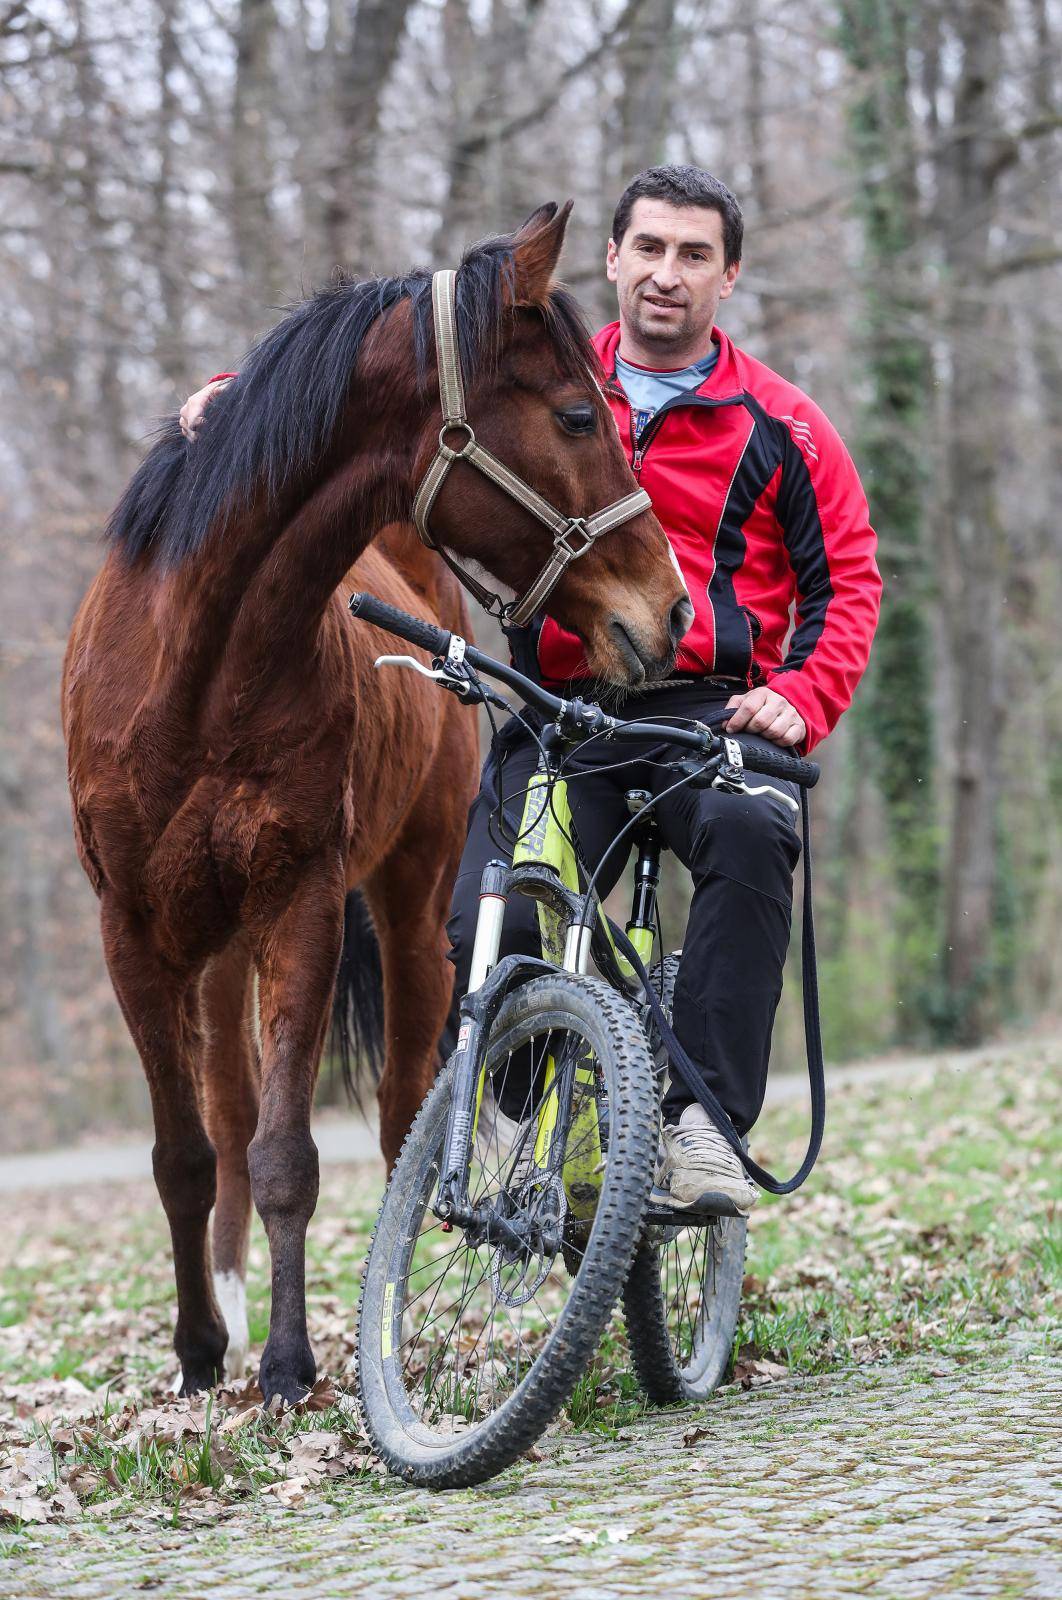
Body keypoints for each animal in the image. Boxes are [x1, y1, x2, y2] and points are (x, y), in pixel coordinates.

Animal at [62, 196, 687, 1401]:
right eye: (577, 414)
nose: (672, 609)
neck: (194, 670)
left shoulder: (300, 906)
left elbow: (286, 1156)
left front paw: (290, 1364)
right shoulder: (132, 932)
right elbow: (185, 1156)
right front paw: (200, 1354)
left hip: (405, 910)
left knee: (400, 1110)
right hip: (212, 952)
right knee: (224, 1120)